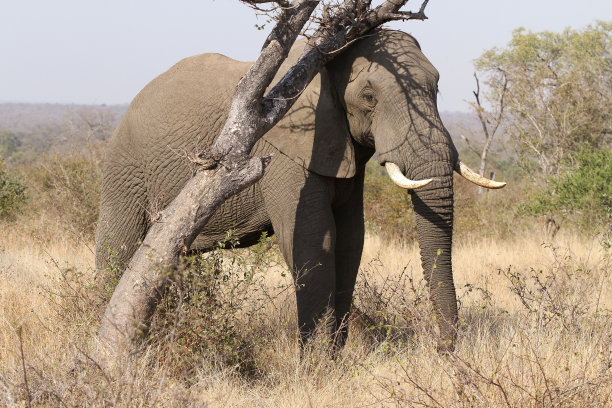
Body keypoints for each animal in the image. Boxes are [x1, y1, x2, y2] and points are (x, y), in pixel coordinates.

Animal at [95, 27, 504, 350]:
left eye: (437, 87)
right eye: (369, 97)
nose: (443, 350)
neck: (326, 59)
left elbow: (350, 239)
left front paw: (335, 360)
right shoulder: (285, 148)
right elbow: (313, 238)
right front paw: (319, 365)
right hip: (124, 169)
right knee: (119, 250)